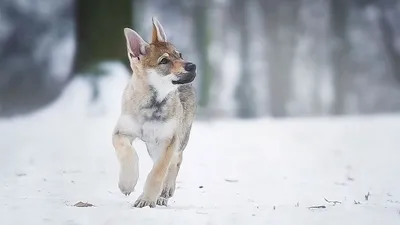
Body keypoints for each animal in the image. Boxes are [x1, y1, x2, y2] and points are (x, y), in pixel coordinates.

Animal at [111, 16, 197, 208]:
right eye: (164, 61)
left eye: (179, 55)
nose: (192, 65)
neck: (152, 104)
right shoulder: (121, 133)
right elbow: (128, 153)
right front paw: (127, 183)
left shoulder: (168, 140)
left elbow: (158, 172)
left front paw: (147, 199)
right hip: (153, 147)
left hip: (177, 140)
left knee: (175, 162)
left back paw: (164, 193)